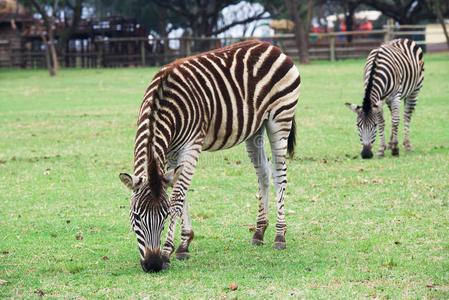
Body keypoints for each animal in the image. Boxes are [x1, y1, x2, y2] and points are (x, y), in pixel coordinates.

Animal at [119, 39, 300, 272]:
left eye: (164, 216)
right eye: (136, 216)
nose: (153, 265)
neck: (163, 101)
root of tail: (270, 45)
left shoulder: (191, 145)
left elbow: (177, 198)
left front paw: (169, 251)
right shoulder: (171, 152)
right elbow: (181, 194)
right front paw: (185, 243)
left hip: (280, 118)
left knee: (279, 175)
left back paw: (280, 235)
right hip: (255, 129)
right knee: (263, 173)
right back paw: (259, 232)